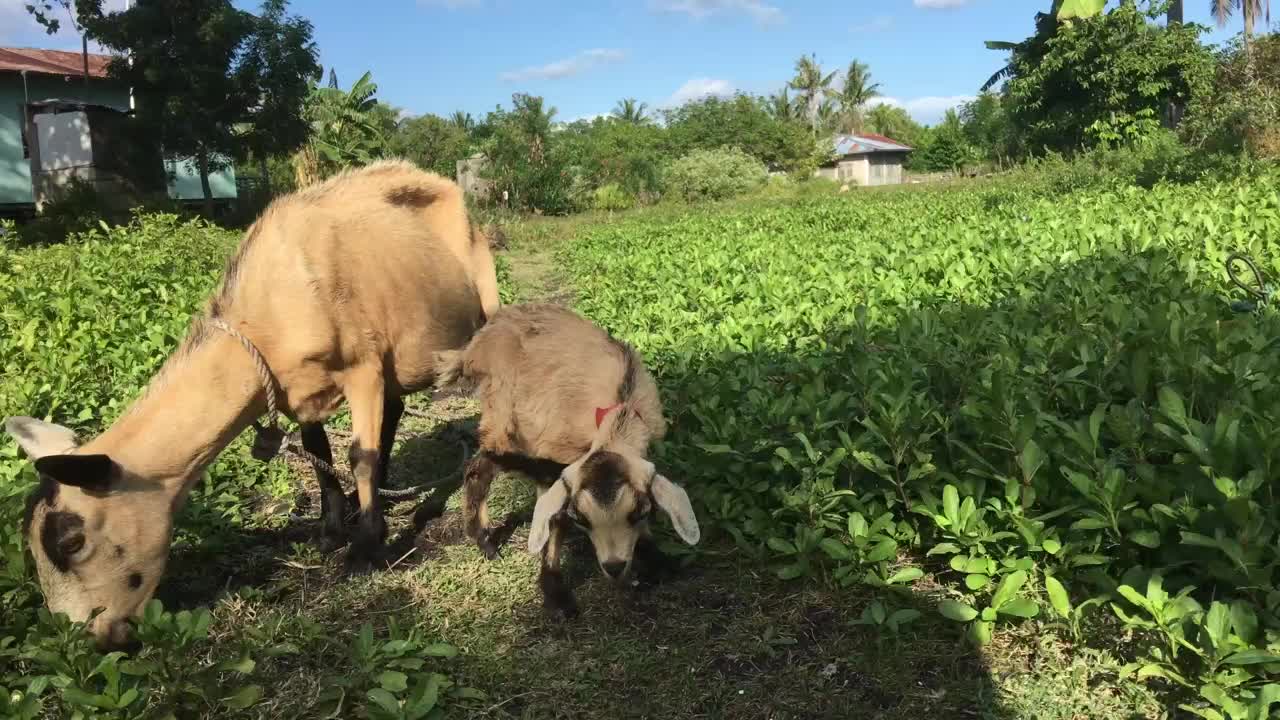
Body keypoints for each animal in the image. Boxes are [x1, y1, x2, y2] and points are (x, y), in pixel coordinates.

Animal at [3, 159, 499, 648]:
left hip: (484, 307)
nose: (91, 640)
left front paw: (365, 549)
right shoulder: (298, 390)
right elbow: (320, 455)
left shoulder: (363, 366)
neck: (268, 311)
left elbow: (360, 456)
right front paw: (331, 531)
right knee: (394, 411)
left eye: (71, 542)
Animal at [432, 299, 701, 614]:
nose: (613, 566)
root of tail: (476, 346)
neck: (617, 411)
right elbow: (554, 518)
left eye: (640, 512)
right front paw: (555, 592)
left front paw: (656, 557)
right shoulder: (554, 453)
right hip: (502, 413)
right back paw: (485, 542)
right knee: (481, 465)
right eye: (581, 519)